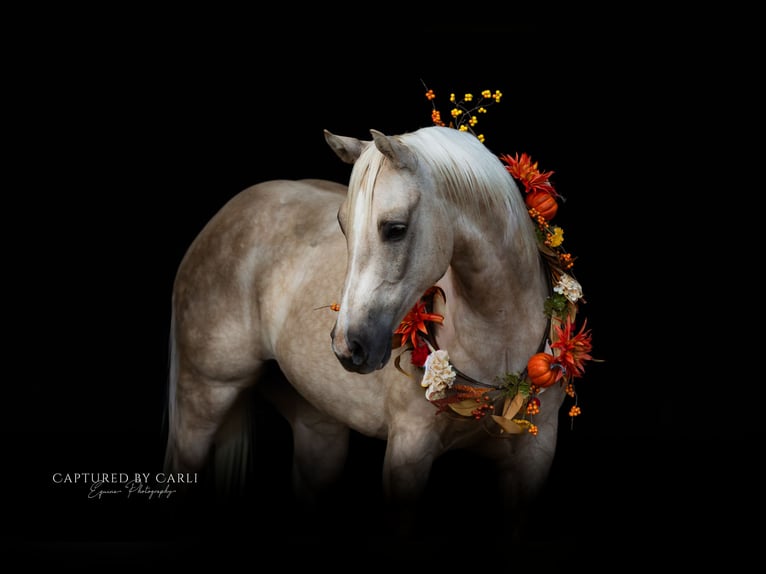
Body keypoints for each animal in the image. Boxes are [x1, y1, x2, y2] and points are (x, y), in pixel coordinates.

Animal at [163, 125, 568, 538]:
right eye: (343, 224)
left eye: (395, 229)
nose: (348, 346)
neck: (499, 340)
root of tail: (226, 215)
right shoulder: (408, 454)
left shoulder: (532, 461)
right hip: (204, 401)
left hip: (318, 428)